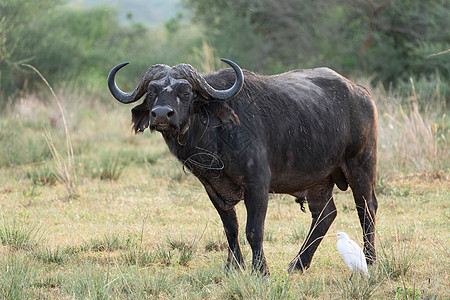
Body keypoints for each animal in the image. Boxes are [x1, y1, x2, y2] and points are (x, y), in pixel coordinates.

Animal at [107, 58, 378, 274]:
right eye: (152, 92)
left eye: (185, 92)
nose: (162, 114)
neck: (216, 134)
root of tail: (362, 93)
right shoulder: (213, 187)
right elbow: (231, 228)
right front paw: (234, 266)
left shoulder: (257, 185)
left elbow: (253, 230)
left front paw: (261, 270)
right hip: (319, 181)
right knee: (325, 214)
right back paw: (298, 264)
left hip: (361, 166)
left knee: (367, 208)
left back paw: (371, 260)